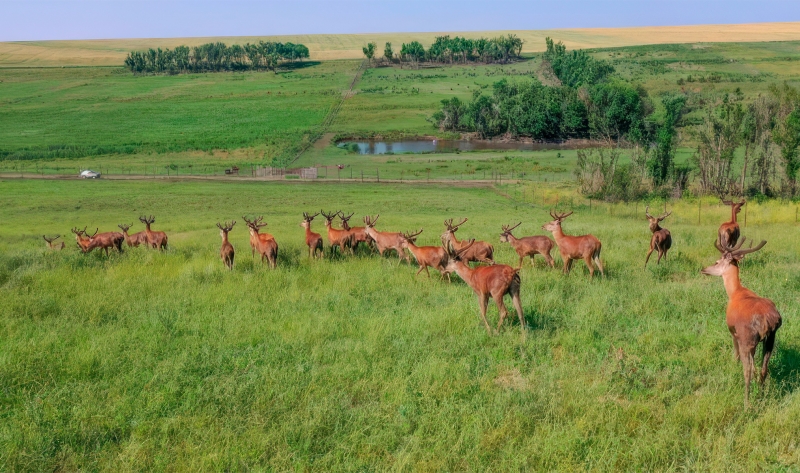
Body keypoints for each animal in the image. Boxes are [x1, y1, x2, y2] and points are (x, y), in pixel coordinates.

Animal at [700, 236, 780, 406]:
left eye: (717, 262)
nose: (704, 269)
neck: (735, 292)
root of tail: (768, 320)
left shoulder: (733, 330)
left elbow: (735, 353)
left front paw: (732, 365)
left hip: (746, 337)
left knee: (747, 370)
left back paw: (746, 403)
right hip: (770, 338)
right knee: (764, 367)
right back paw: (761, 394)